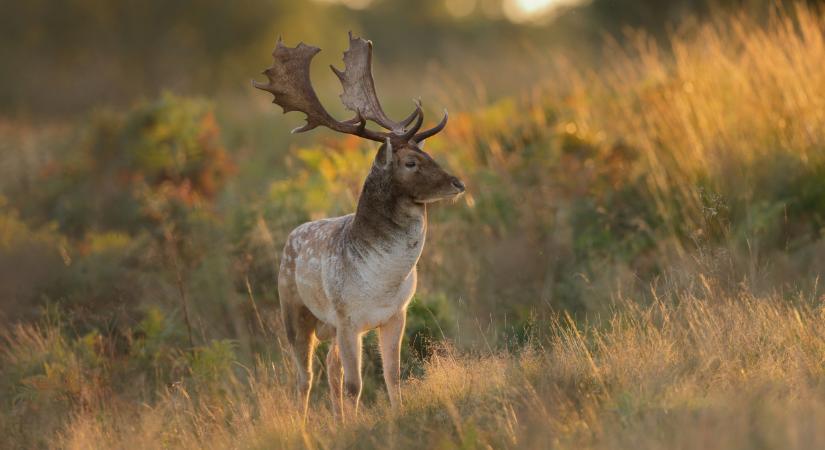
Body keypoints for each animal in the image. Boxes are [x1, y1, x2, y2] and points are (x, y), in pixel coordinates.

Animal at [253, 33, 464, 420]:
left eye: (428, 153)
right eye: (410, 162)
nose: (458, 183)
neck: (381, 282)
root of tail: (290, 237)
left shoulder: (396, 314)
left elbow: (392, 375)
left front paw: (394, 417)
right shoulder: (347, 317)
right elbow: (356, 385)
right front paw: (356, 425)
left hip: (332, 328)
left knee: (331, 368)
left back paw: (337, 419)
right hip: (295, 312)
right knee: (304, 377)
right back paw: (305, 424)